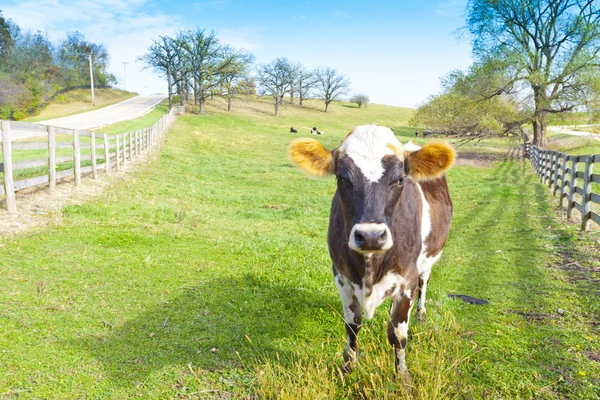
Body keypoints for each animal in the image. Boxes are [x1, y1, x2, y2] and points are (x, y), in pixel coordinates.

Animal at [288, 125, 452, 378]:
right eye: (341, 178)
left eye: (399, 179)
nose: (371, 236)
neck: (370, 266)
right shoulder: (341, 276)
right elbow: (352, 326)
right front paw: (348, 366)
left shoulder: (407, 279)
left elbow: (397, 335)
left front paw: (402, 376)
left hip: (428, 260)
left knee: (425, 283)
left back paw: (421, 313)